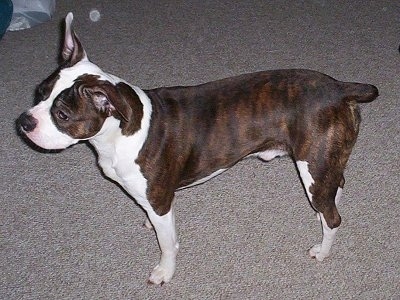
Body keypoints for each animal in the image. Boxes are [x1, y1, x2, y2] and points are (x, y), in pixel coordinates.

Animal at [16, 12, 378, 284]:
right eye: (39, 92)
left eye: (62, 115)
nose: (24, 121)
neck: (117, 132)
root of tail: (339, 88)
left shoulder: (161, 202)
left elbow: (168, 244)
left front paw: (164, 272)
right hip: (324, 162)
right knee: (336, 185)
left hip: (311, 164)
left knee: (333, 217)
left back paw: (323, 248)